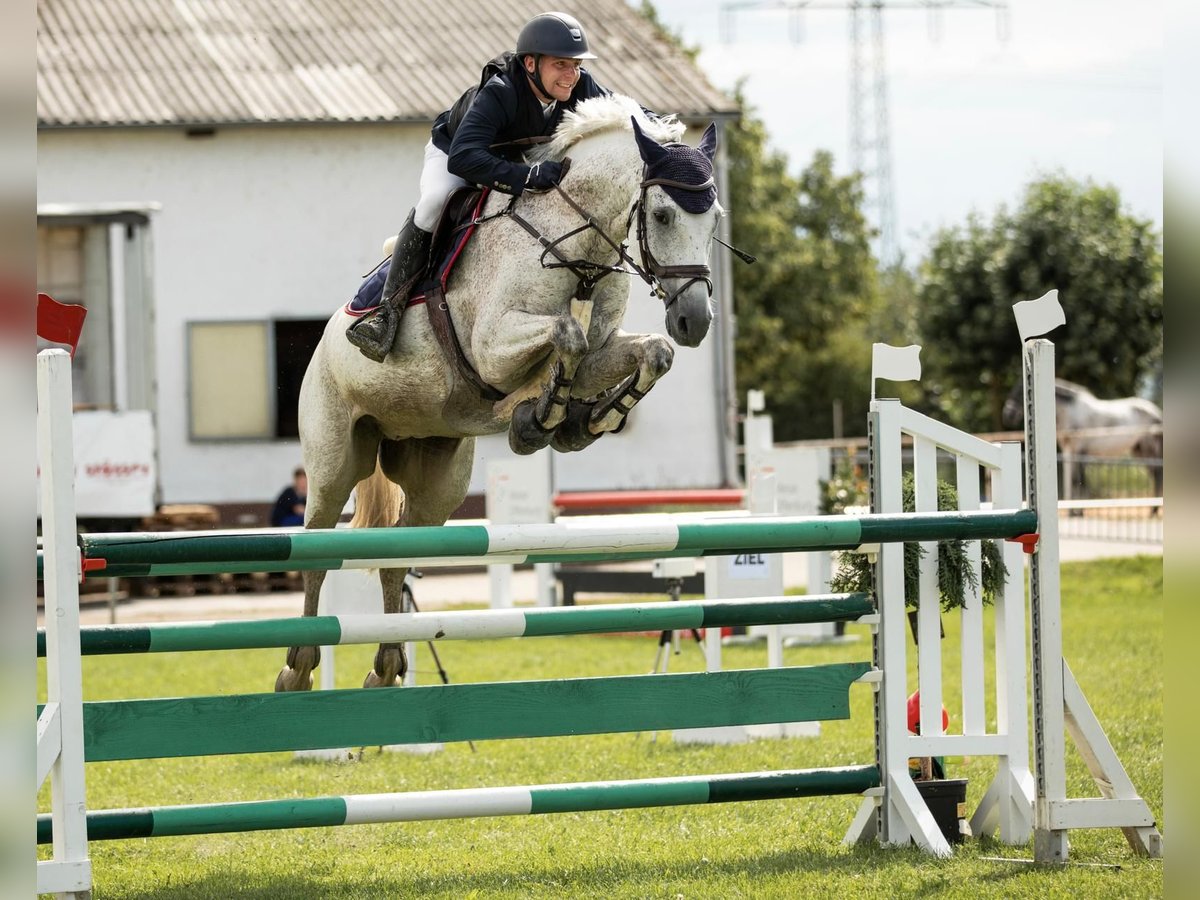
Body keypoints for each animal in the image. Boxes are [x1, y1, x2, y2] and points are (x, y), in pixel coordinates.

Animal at [277, 97, 724, 691]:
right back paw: (298, 667)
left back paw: (387, 665)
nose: (694, 320)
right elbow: (568, 336)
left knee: (397, 552)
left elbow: (649, 353)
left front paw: (584, 421)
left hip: (436, 480)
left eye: (714, 219)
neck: (576, 241)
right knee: (316, 547)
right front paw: (539, 420)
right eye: (663, 215)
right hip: (334, 459)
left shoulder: (605, 350)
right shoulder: (492, 348)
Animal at [998, 374, 1166, 496]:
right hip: (1140, 451)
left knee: (1158, 475)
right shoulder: (1070, 451)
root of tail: (1157, 412)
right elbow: (1073, 481)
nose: (1007, 415)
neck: (1070, 412)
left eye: (1022, 392)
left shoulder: (1080, 451)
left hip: (1150, 449)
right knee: (1155, 475)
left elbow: (1079, 481)